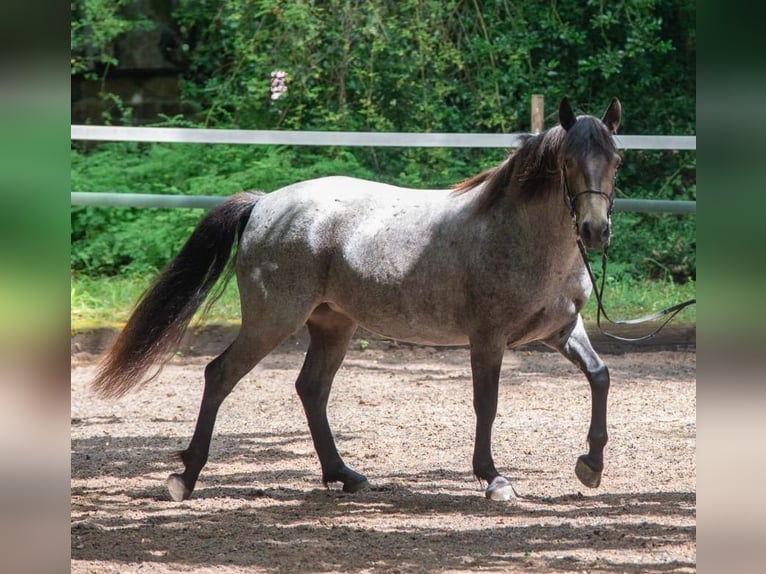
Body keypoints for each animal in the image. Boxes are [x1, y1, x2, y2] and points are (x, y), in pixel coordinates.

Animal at [92, 97, 623, 502]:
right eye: (569, 162)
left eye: (615, 160)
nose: (595, 232)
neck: (519, 235)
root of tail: (264, 205)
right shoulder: (487, 339)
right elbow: (486, 404)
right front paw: (493, 479)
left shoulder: (561, 331)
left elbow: (600, 376)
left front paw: (591, 465)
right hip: (271, 322)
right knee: (220, 375)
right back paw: (185, 477)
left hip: (333, 325)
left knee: (311, 388)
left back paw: (343, 475)